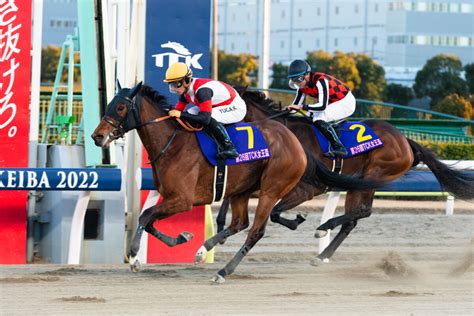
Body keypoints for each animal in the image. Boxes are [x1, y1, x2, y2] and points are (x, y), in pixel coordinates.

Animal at [90, 82, 380, 282]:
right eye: (109, 104)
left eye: (120, 107)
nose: (97, 136)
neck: (172, 144)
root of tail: (297, 144)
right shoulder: (172, 197)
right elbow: (149, 220)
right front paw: (182, 238)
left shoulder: (183, 199)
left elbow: (145, 216)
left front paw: (134, 257)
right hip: (242, 190)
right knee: (240, 223)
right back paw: (204, 250)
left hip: (271, 189)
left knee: (256, 231)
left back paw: (223, 271)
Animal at [218, 87, 474, 266]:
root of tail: (406, 141)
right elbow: (231, 197)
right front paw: (220, 230)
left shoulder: (306, 188)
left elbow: (275, 212)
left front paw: (297, 221)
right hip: (359, 183)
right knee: (353, 218)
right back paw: (322, 255)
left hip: (374, 174)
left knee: (362, 211)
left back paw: (324, 228)